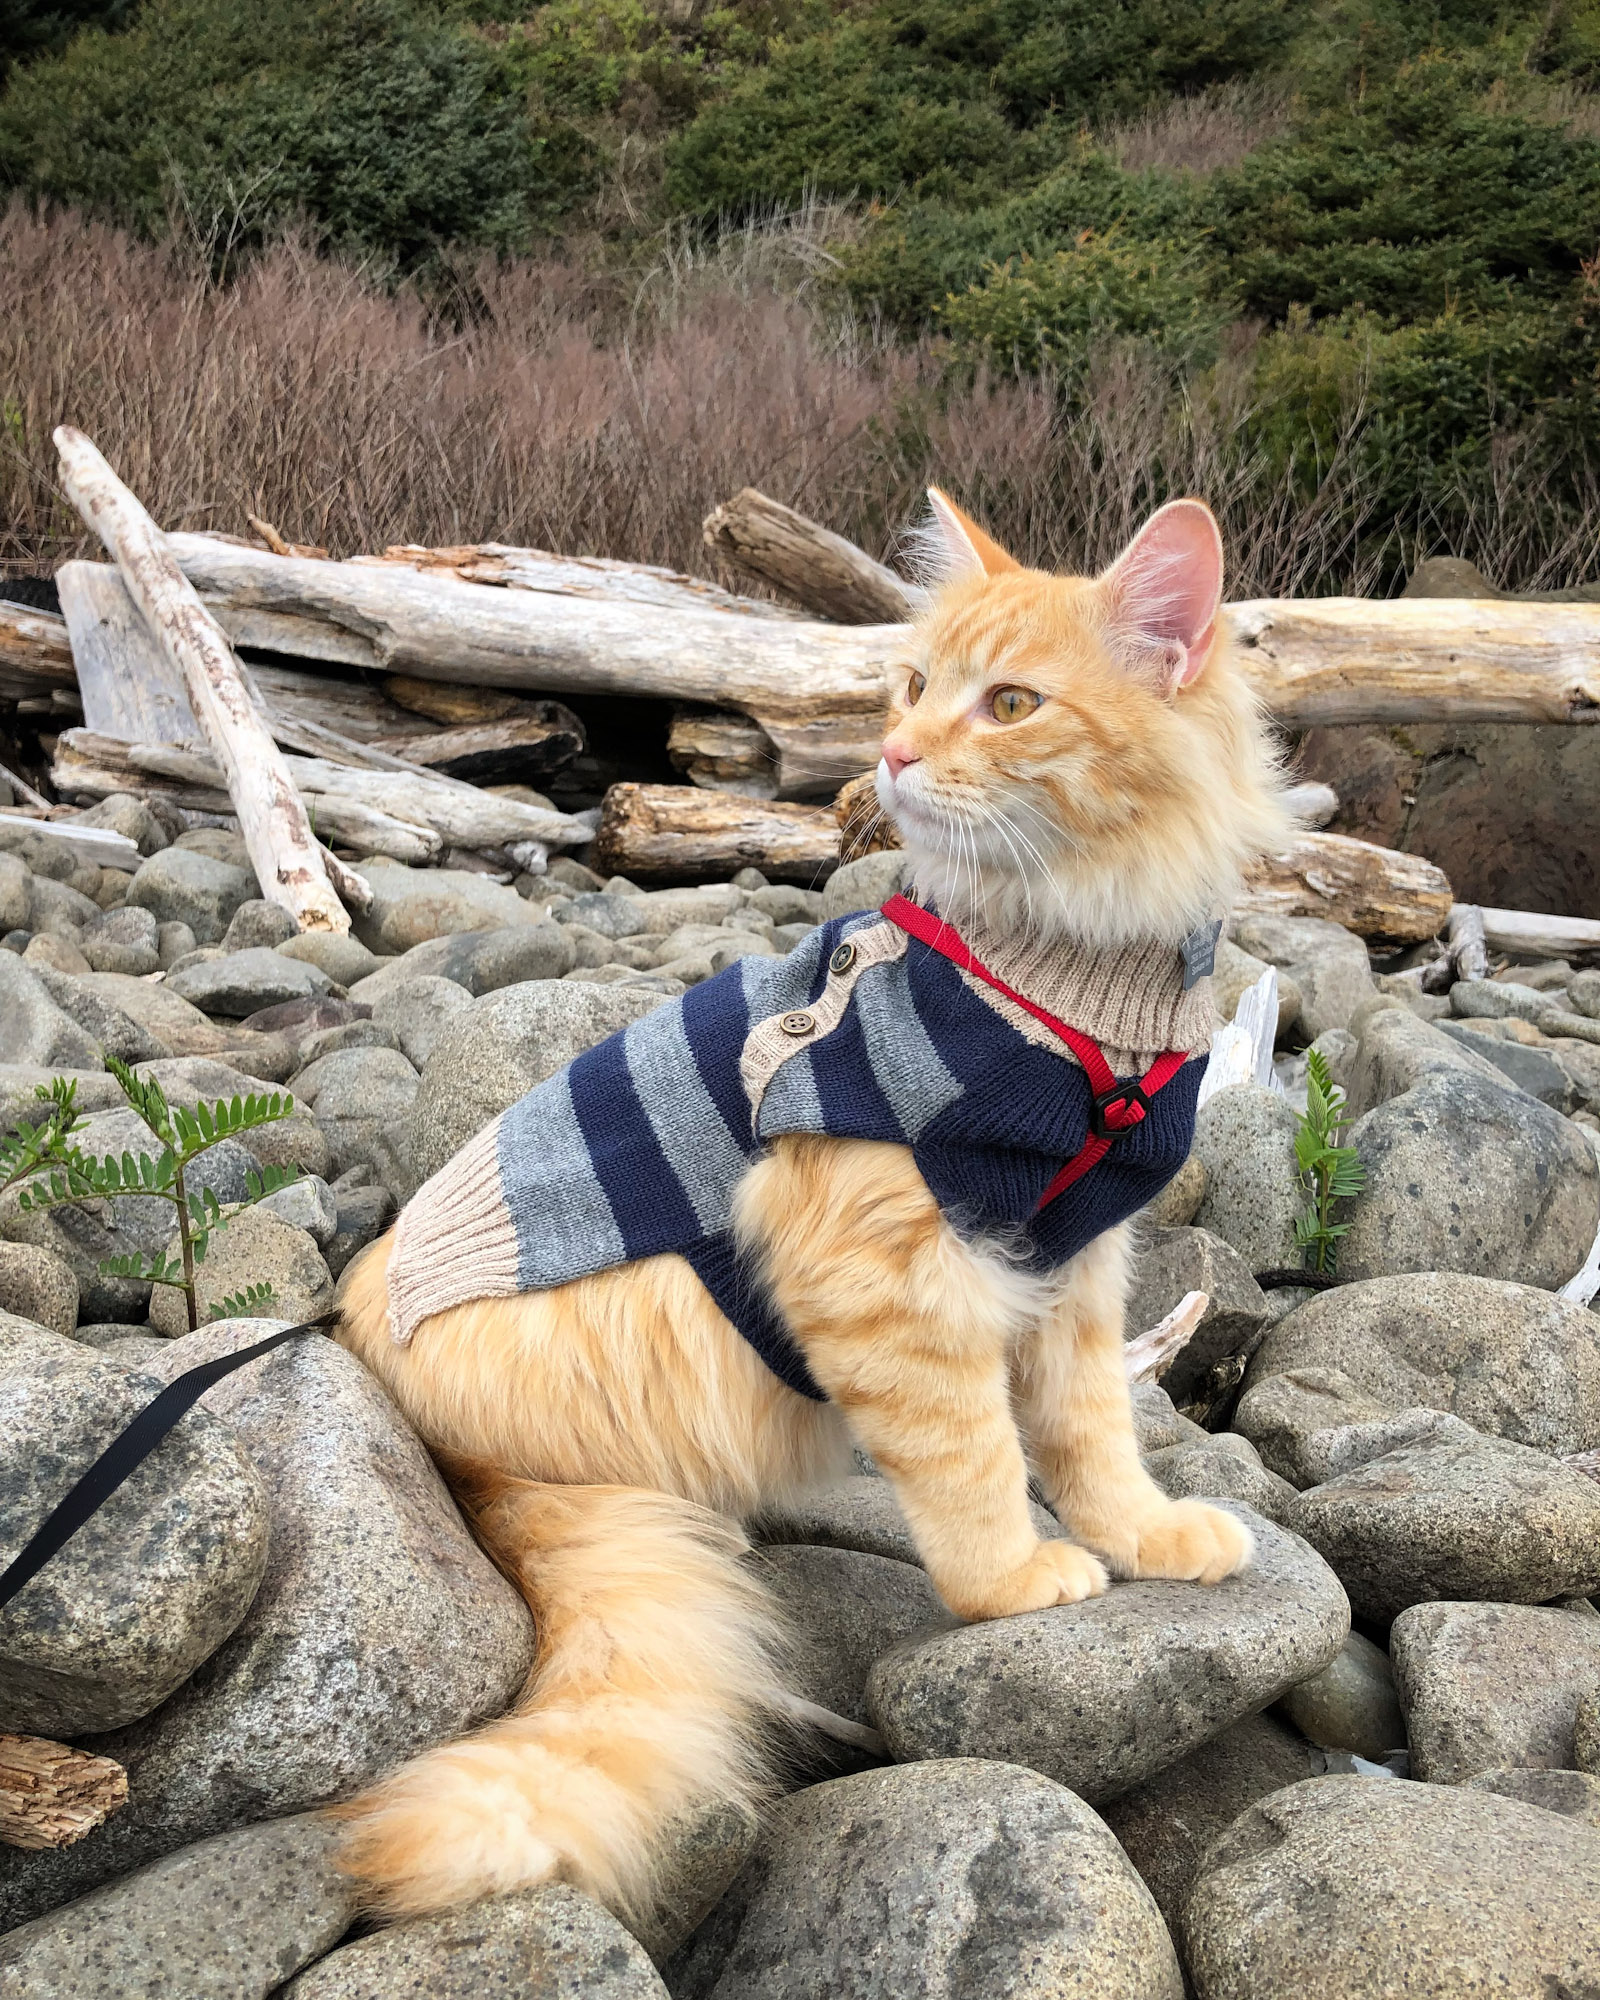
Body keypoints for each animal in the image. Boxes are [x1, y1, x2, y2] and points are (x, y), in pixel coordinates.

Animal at [334, 484, 1288, 1920]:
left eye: (1010, 704)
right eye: (912, 685)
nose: (890, 753)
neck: (1071, 996)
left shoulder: (1073, 1263)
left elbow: (1093, 1436)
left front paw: (1146, 1534)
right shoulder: (887, 1268)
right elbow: (974, 1458)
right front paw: (1013, 1580)